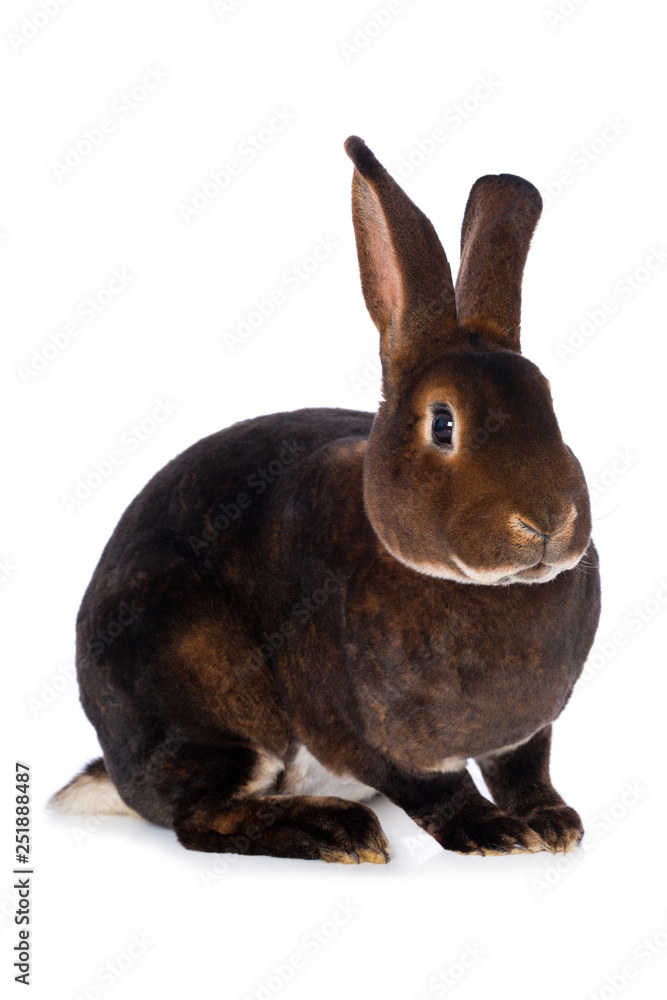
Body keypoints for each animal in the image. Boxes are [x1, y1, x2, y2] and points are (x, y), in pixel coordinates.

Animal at [50, 136, 601, 863]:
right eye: (443, 423)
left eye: (548, 404)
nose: (546, 523)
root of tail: (113, 772)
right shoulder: (362, 730)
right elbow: (433, 789)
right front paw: (494, 833)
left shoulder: (525, 734)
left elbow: (525, 771)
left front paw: (555, 824)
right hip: (201, 686)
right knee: (202, 816)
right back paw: (333, 829)